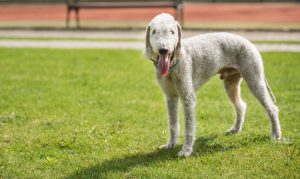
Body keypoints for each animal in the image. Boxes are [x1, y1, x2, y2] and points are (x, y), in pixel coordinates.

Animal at [145, 13, 282, 157]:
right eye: (154, 31)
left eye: (172, 32)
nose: (163, 50)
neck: (173, 63)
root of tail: (248, 42)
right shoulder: (170, 97)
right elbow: (172, 125)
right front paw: (170, 145)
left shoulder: (188, 97)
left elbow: (189, 126)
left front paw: (186, 150)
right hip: (230, 83)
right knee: (241, 106)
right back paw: (235, 129)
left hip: (254, 78)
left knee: (272, 108)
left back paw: (275, 135)